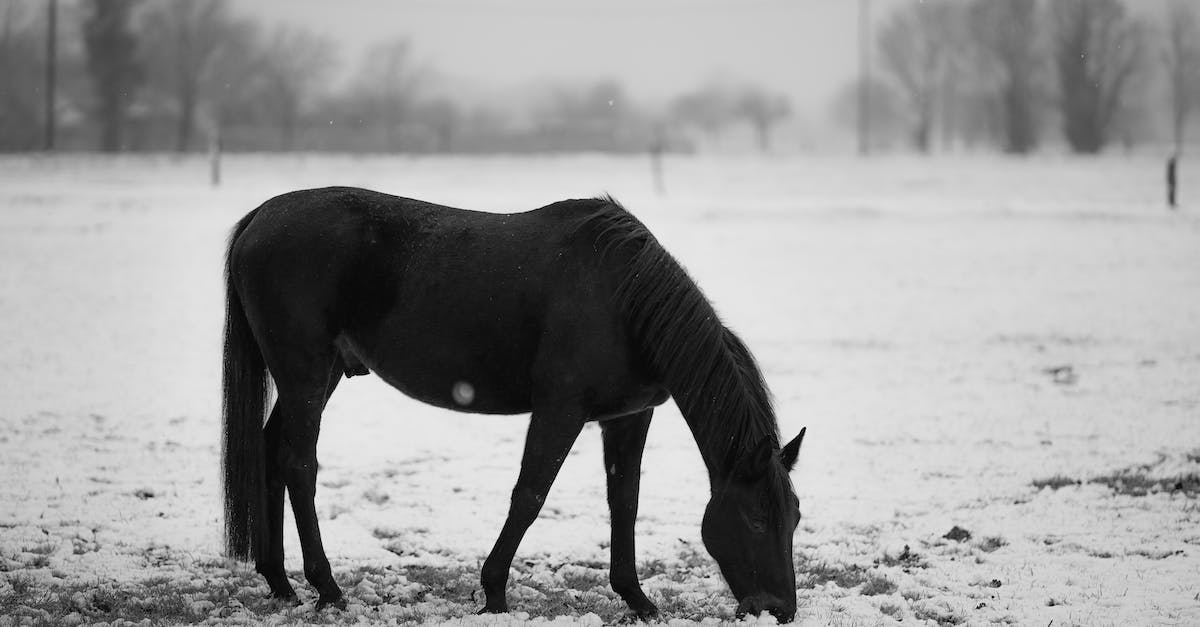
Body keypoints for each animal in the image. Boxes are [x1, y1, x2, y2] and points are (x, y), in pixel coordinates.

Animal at [221, 187, 807, 621]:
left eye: (795, 516)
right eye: (756, 519)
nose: (779, 609)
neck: (624, 300)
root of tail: (260, 218)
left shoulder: (628, 417)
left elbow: (625, 503)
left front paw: (637, 599)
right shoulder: (560, 410)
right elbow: (529, 496)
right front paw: (495, 593)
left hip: (315, 378)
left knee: (271, 453)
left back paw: (280, 583)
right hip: (304, 373)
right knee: (299, 465)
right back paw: (327, 588)